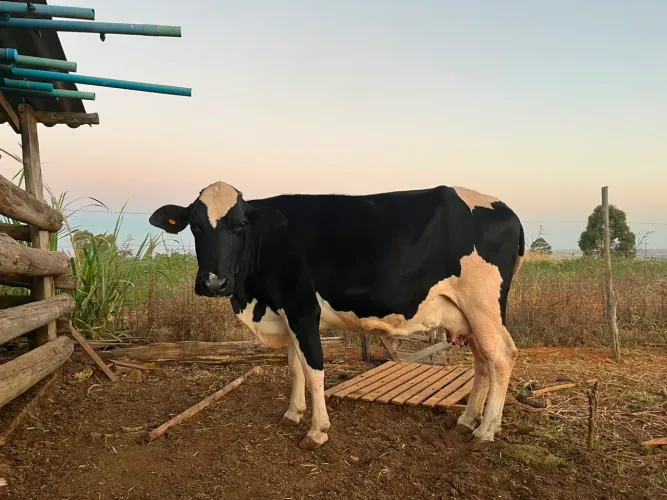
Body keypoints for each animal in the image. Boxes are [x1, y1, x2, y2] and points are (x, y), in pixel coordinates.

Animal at [149, 181, 525, 449]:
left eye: (240, 225)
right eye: (195, 226)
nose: (214, 282)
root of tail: (505, 207)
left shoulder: (303, 309)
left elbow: (314, 369)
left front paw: (316, 431)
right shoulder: (286, 313)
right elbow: (294, 365)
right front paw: (293, 413)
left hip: (483, 306)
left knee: (501, 356)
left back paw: (485, 431)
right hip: (468, 314)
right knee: (483, 361)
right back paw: (467, 420)